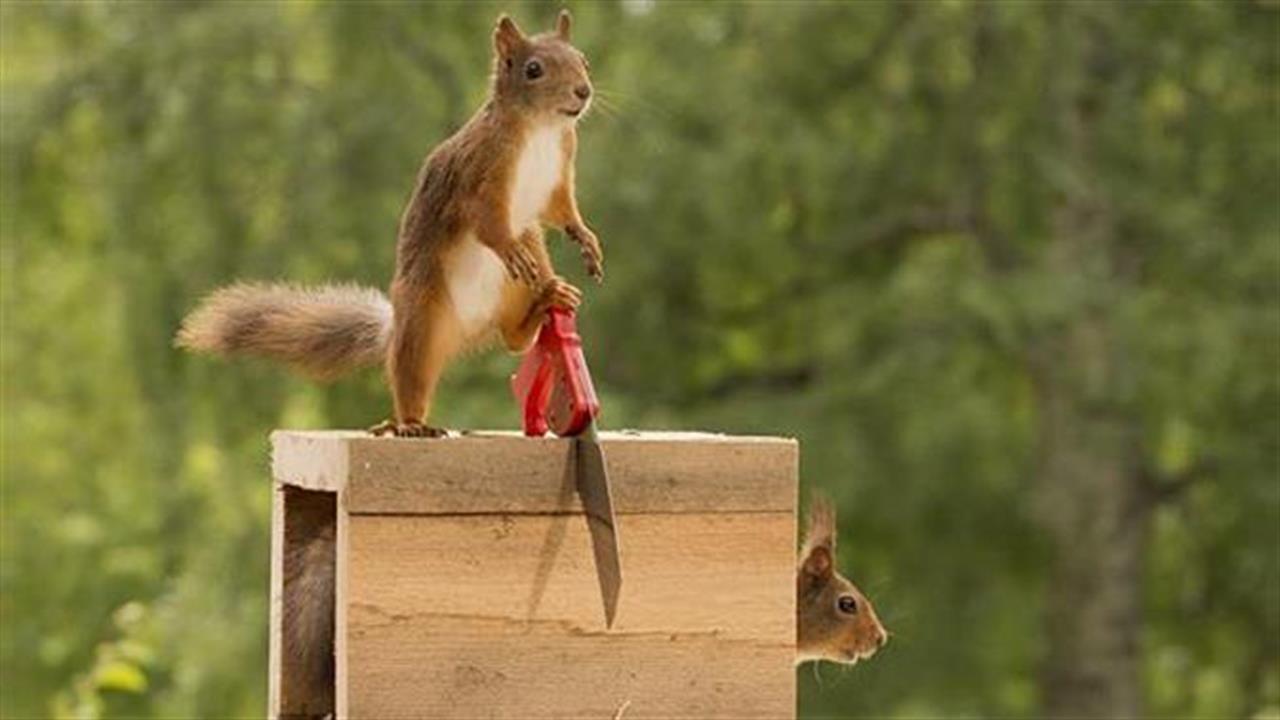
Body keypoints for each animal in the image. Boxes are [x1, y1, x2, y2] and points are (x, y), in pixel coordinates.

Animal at [177, 9, 601, 438]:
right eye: (533, 70)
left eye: (583, 60)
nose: (583, 92)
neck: (541, 131)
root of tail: (463, 329)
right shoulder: (476, 179)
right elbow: (487, 223)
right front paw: (507, 245)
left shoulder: (558, 177)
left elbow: (561, 210)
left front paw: (586, 237)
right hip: (420, 321)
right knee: (411, 377)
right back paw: (410, 424)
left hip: (515, 287)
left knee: (514, 338)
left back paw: (549, 297)